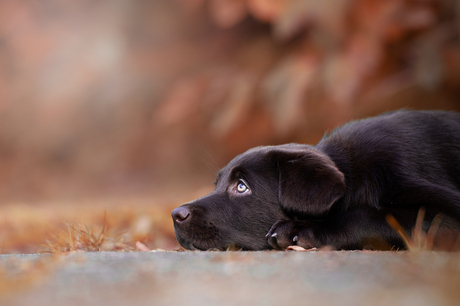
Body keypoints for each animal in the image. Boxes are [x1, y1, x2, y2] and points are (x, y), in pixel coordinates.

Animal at [172, 111, 460, 250]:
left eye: (241, 187)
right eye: (217, 184)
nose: (175, 214)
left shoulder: (443, 215)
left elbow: (372, 215)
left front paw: (301, 229)